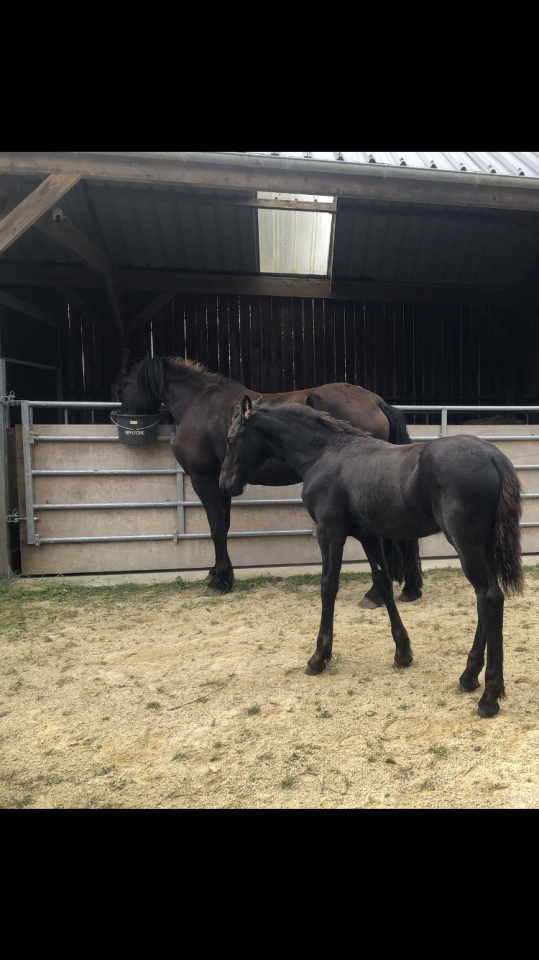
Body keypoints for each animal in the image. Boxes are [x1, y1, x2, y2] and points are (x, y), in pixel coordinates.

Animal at [115, 352, 423, 606]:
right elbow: (224, 525)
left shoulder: (204, 479)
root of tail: (377, 402)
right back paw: (410, 587)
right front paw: (219, 575)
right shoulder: (223, 482)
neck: (198, 401)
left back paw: (375, 595)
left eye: (123, 384)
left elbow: (216, 528)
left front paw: (219, 581)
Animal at [219, 397, 524, 719]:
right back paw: (468, 676)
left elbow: (328, 586)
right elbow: (384, 583)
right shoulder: (369, 536)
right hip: (480, 548)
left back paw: (489, 696)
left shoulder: (330, 533)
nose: (224, 484)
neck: (324, 454)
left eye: (230, 439)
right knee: (483, 599)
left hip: (467, 546)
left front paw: (319, 657)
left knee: (489, 597)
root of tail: (493, 455)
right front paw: (402, 653)